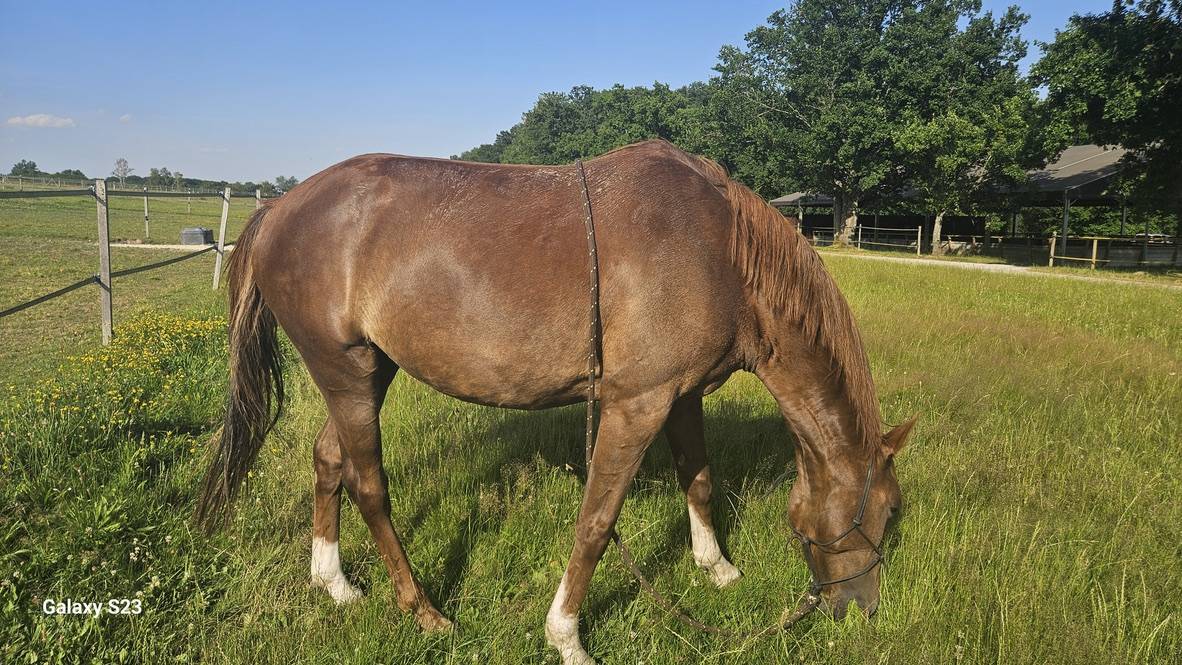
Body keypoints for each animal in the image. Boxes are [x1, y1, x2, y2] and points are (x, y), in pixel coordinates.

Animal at [195, 139, 914, 664]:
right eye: (887, 509)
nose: (859, 608)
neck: (721, 253)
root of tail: (280, 208)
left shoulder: (682, 398)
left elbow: (700, 479)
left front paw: (717, 568)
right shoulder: (637, 404)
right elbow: (596, 523)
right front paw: (566, 636)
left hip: (369, 370)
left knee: (328, 461)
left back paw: (335, 582)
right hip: (345, 371)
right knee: (369, 485)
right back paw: (423, 609)